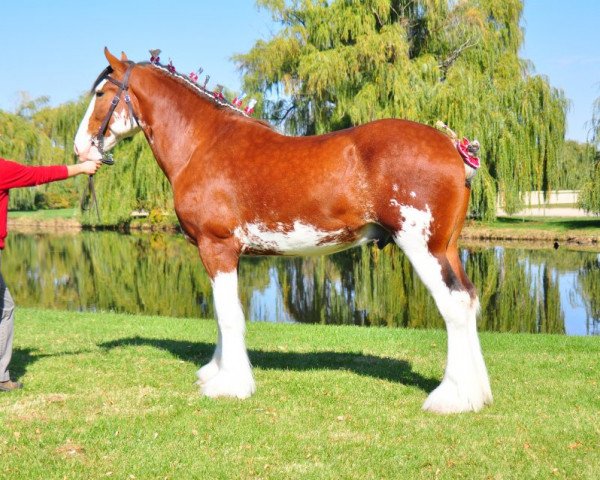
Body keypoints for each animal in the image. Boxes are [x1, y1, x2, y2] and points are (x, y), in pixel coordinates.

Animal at [74, 49, 492, 416]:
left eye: (100, 94)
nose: (80, 148)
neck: (203, 144)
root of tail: (454, 148)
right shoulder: (215, 253)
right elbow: (221, 316)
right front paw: (215, 372)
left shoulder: (218, 248)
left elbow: (229, 316)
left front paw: (230, 385)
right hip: (447, 248)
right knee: (469, 299)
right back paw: (477, 394)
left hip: (423, 247)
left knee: (453, 304)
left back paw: (450, 398)